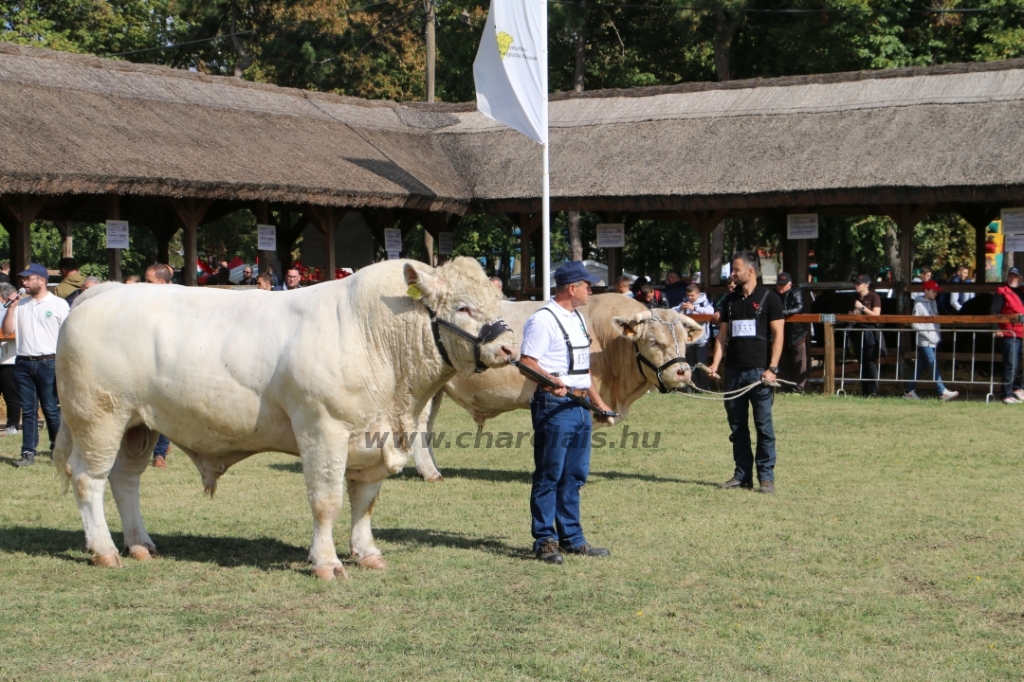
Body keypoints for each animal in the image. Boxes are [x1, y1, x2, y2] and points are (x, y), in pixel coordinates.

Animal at [51, 258, 516, 577]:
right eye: (463, 307)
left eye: (498, 301)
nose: (510, 348)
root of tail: (104, 291)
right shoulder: (323, 430)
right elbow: (326, 502)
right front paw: (326, 562)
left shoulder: (372, 439)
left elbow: (364, 502)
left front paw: (367, 553)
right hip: (99, 418)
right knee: (89, 480)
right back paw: (104, 550)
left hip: (138, 425)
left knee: (125, 480)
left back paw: (139, 544)